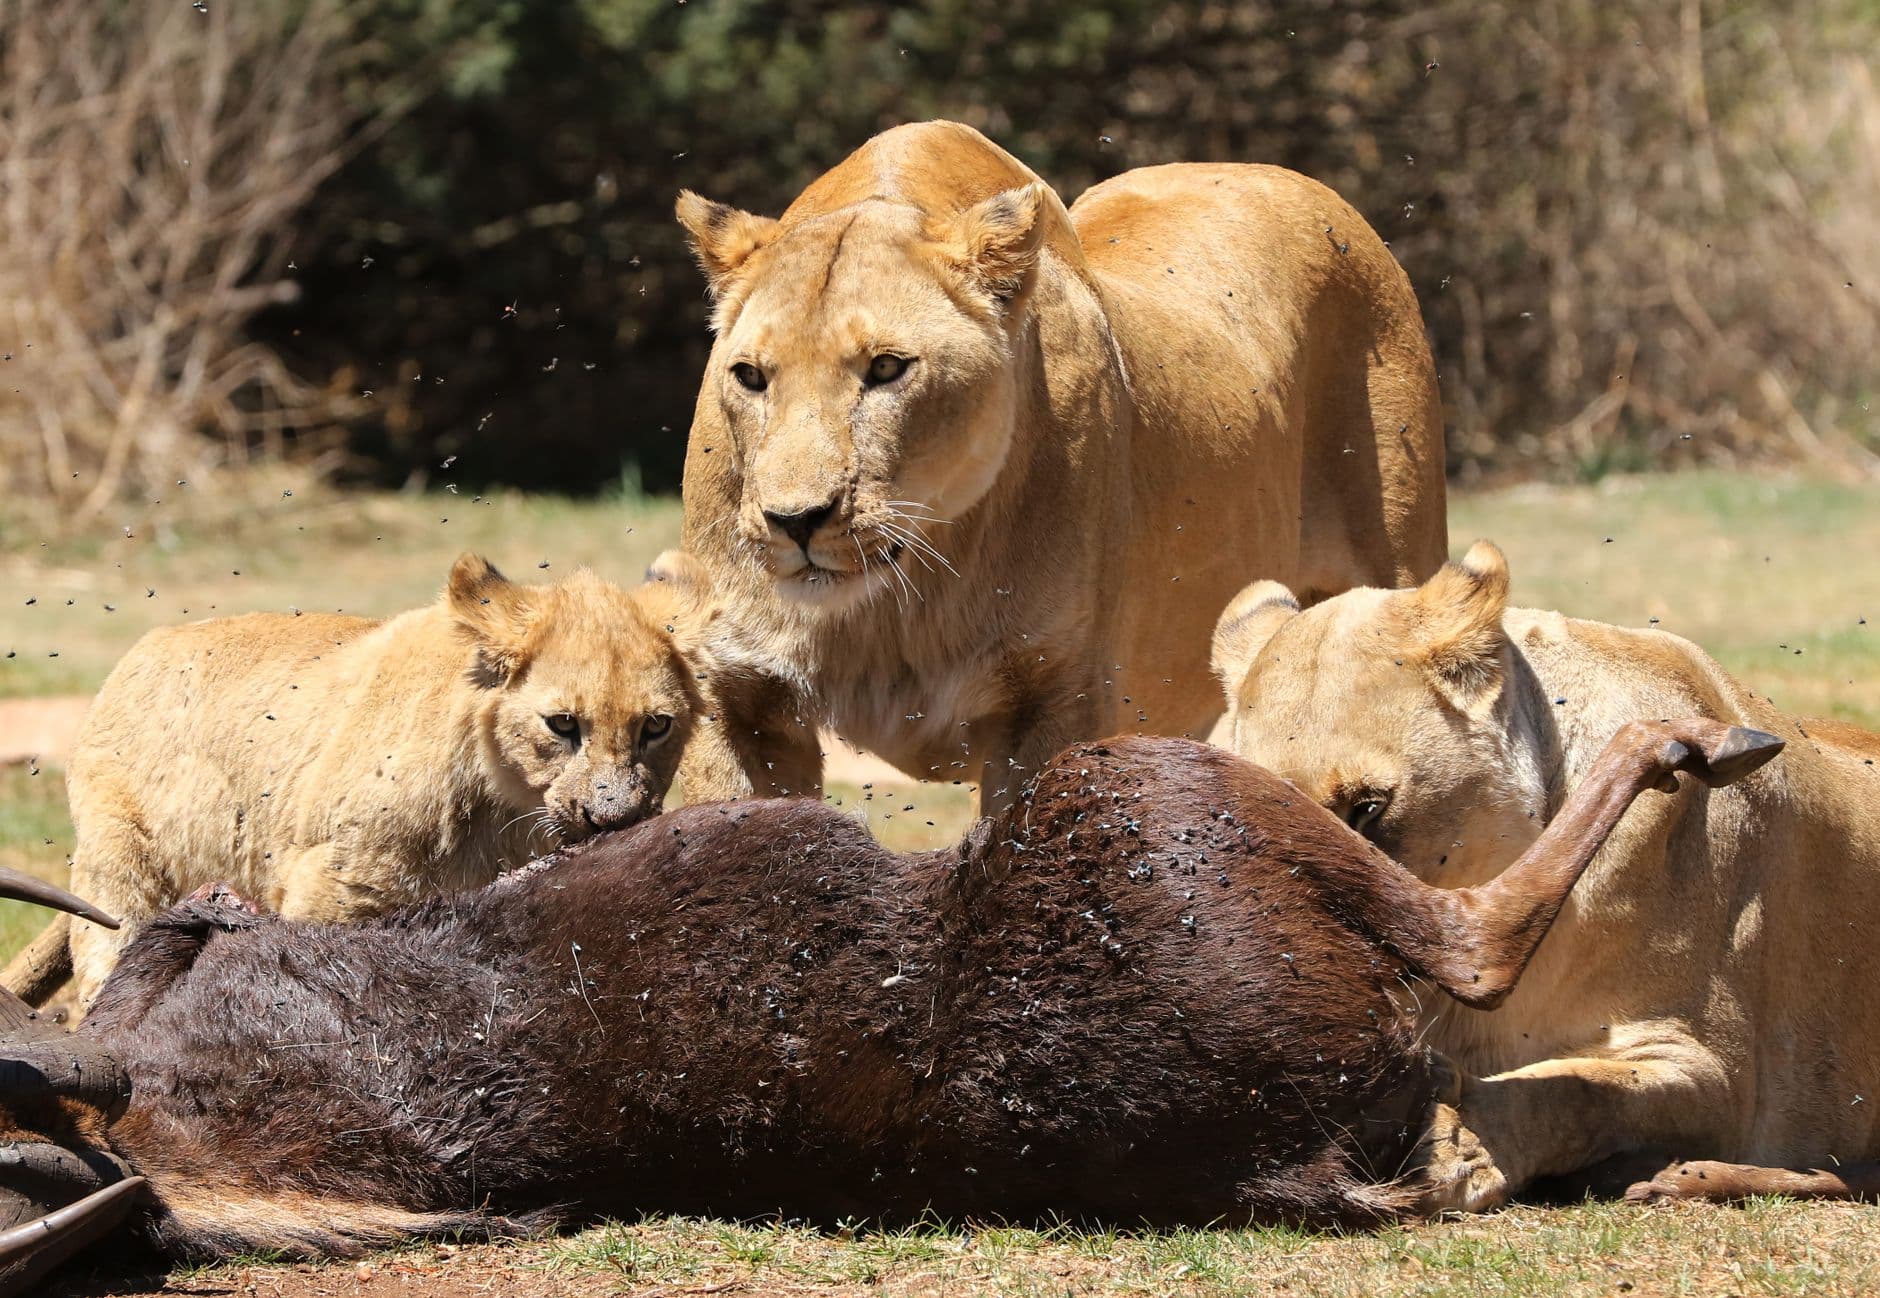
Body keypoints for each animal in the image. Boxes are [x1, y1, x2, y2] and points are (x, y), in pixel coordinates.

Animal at [5, 550, 714, 1010]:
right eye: (563, 724)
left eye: (655, 727)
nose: (617, 818)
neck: (506, 812)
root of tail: (138, 651)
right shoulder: (334, 882)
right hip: (122, 870)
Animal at [671, 120, 1447, 811]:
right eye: (750, 376)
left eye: (887, 368)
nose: (794, 521)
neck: (899, 602)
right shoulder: (735, 695)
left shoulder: (1054, 701)